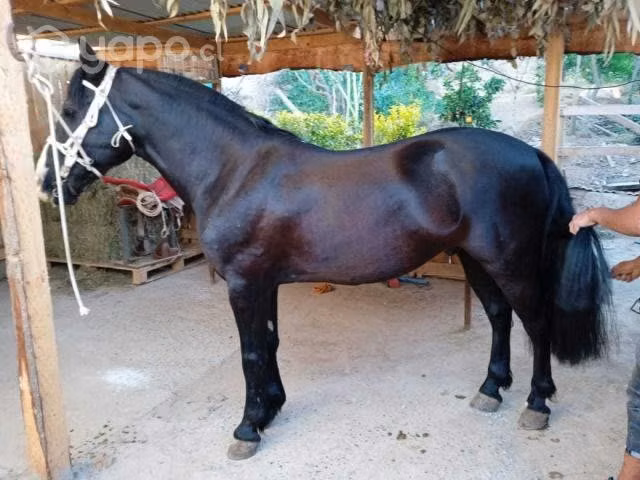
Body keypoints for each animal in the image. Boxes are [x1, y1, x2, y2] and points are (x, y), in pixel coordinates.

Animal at [36, 42, 612, 460]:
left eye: (69, 109)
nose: (46, 185)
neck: (235, 170)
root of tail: (533, 154)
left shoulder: (244, 282)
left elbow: (250, 351)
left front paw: (247, 429)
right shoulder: (263, 282)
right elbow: (269, 344)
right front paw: (270, 410)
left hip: (509, 261)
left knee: (536, 321)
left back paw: (537, 402)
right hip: (477, 260)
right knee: (498, 317)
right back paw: (492, 389)